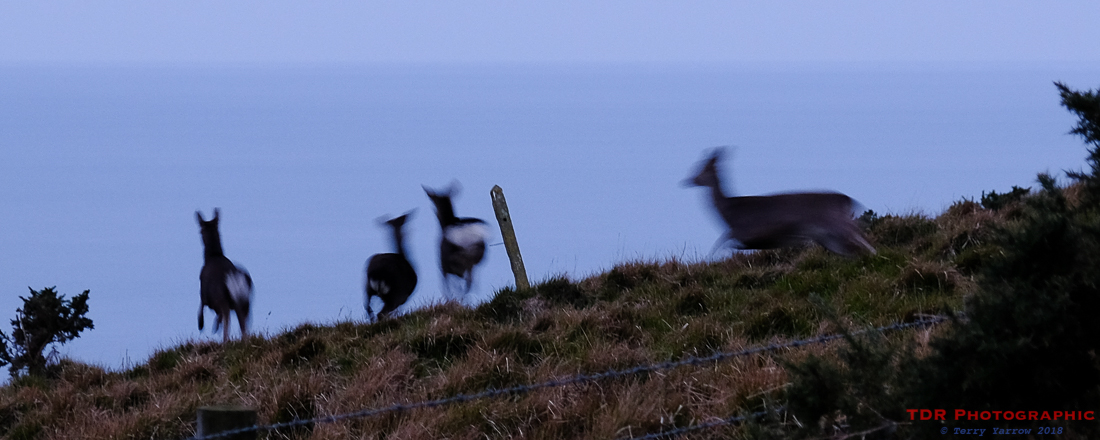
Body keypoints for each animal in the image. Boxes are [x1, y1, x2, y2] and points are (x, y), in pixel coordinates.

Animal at [196, 208, 253, 343]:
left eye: (200, 230)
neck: (213, 256)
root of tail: (234, 278)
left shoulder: (204, 293)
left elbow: (201, 307)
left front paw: (201, 325)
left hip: (224, 301)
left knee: (228, 320)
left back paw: (224, 339)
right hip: (244, 303)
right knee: (244, 324)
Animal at [683, 148, 875, 257]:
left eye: (702, 169)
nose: (687, 180)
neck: (728, 213)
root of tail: (849, 200)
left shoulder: (749, 229)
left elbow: (721, 243)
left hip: (834, 221)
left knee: (858, 234)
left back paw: (876, 254)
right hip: (828, 236)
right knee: (850, 248)